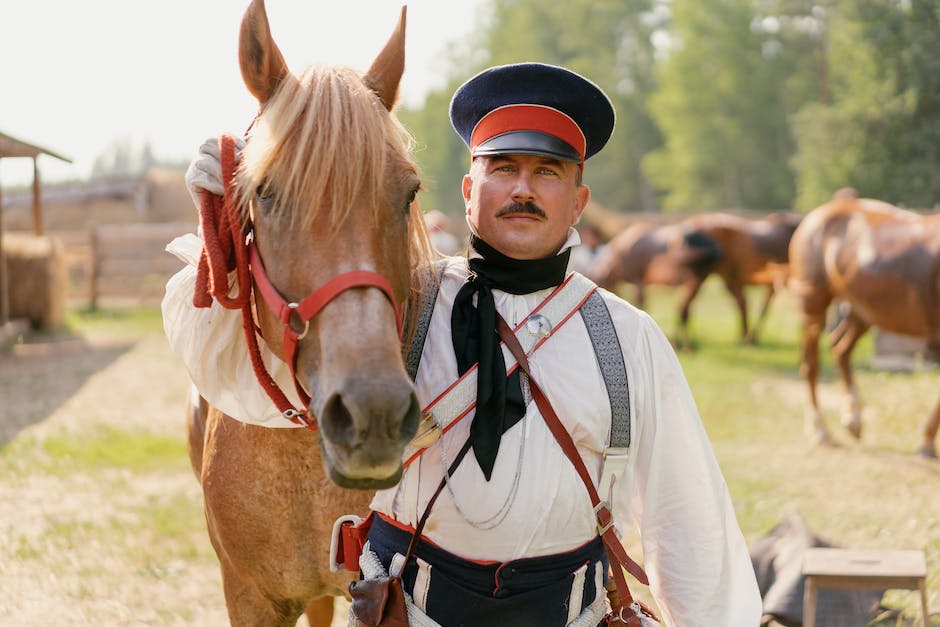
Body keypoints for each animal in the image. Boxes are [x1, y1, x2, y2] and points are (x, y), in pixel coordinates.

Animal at [784, 194, 940, 458]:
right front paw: (926, 440)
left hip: (862, 312)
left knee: (840, 350)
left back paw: (853, 419)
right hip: (813, 304)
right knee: (811, 364)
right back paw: (820, 431)